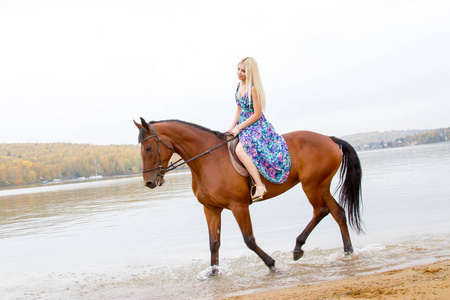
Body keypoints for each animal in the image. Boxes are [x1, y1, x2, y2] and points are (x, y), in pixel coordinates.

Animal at [134, 118, 362, 274]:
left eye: (148, 148)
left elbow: (249, 240)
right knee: (338, 212)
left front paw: (271, 263)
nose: (149, 182)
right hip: (322, 186)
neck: (208, 160)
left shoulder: (239, 206)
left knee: (321, 211)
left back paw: (298, 247)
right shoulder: (211, 209)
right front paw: (213, 273)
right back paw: (348, 251)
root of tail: (329, 138)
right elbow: (213, 243)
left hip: (311, 186)